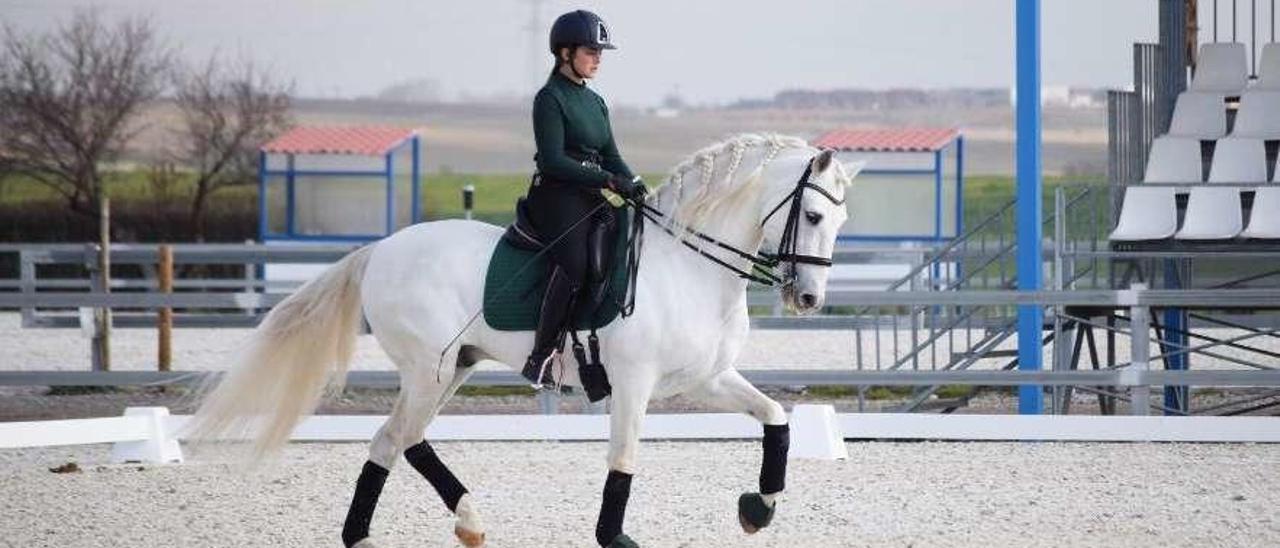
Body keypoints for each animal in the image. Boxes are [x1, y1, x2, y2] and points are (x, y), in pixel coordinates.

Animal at [186, 133, 860, 548]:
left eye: (841, 220)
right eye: (814, 217)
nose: (808, 299)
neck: (689, 265)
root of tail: (382, 249)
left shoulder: (706, 378)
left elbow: (776, 418)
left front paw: (758, 508)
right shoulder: (633, 385)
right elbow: (623, 461)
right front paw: (614, 536)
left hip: (454, 366)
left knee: (398, 440)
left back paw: (418, 528)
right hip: (430, 370)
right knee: (398, 439)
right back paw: (424, 526)